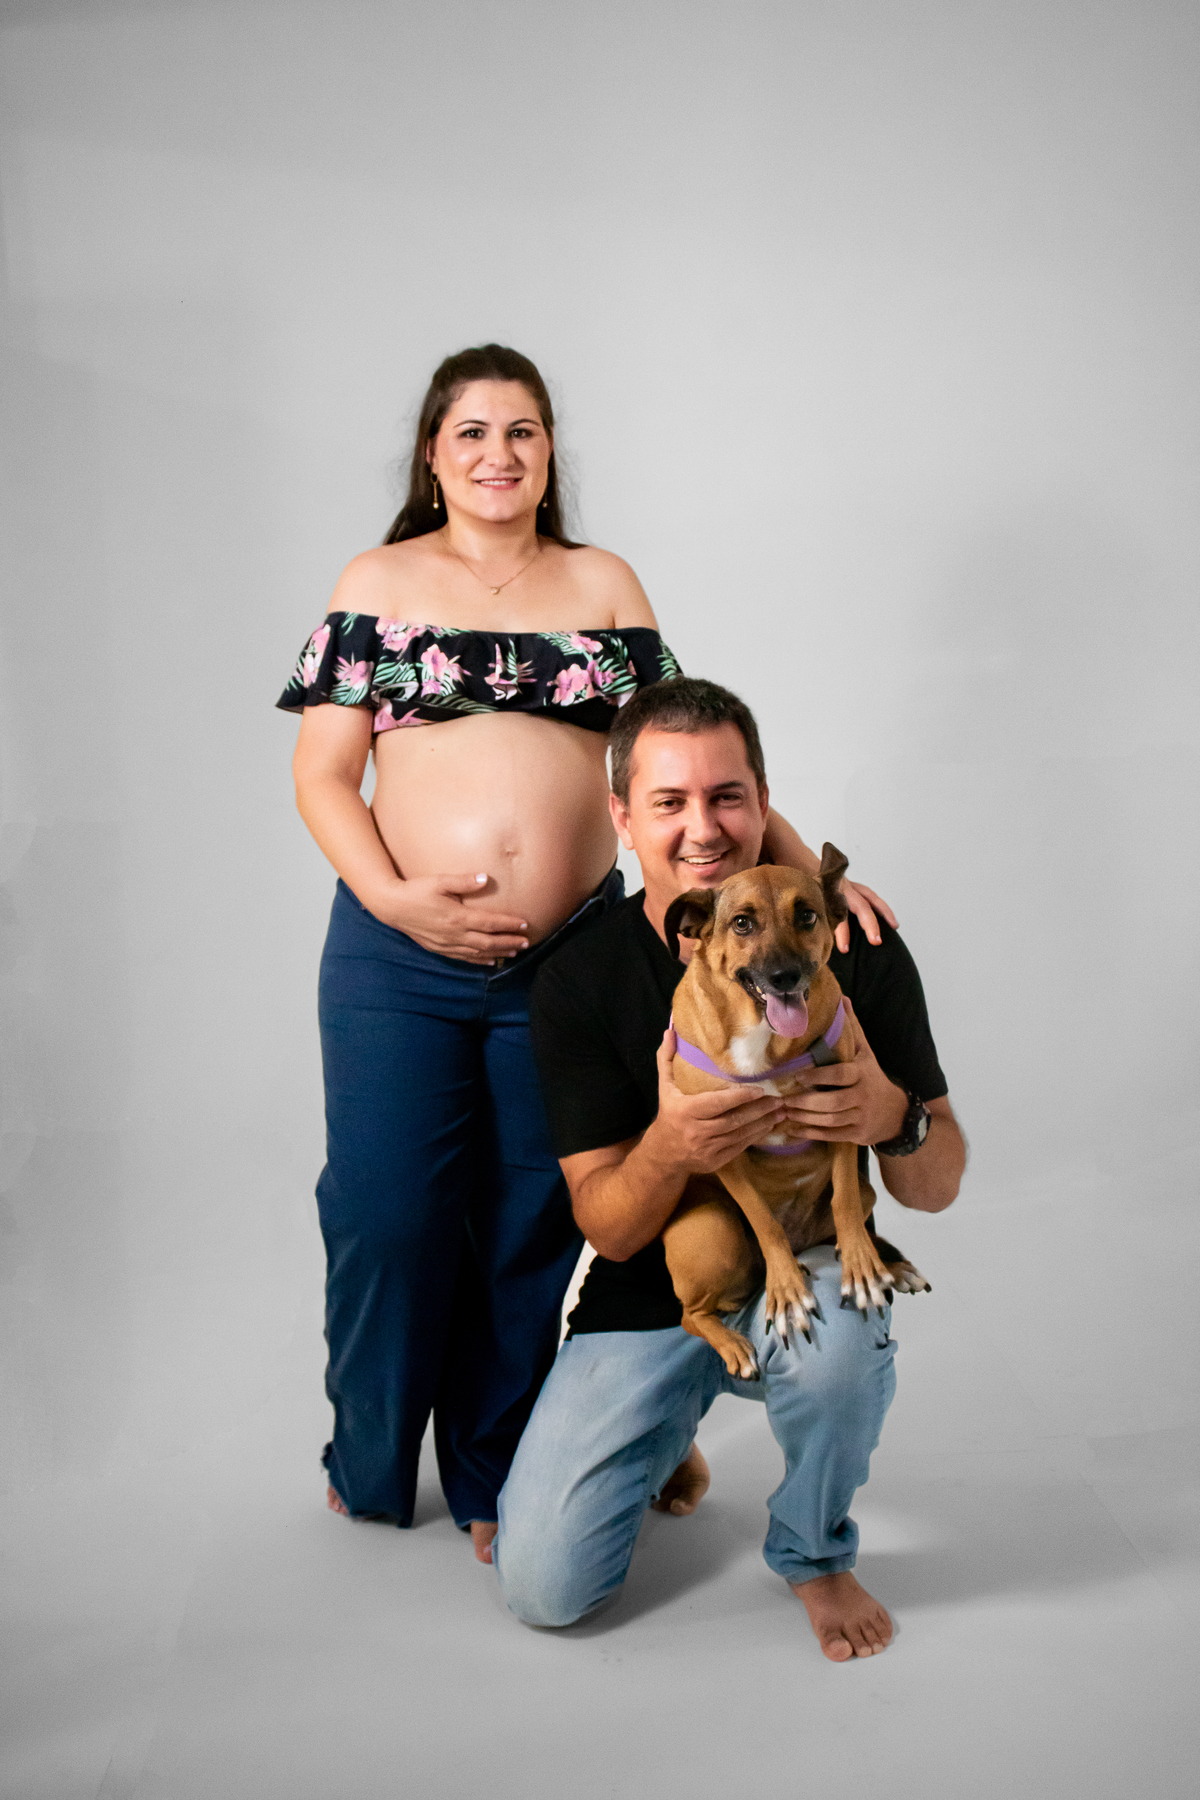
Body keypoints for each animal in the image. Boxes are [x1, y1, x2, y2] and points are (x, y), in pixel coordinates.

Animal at [661, 846, 929, 1380]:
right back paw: (734, 1345)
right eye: (742, 923)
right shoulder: (721, 1147)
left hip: (863, 1191)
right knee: (690, 1315)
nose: (786, 976)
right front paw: (786, 1290)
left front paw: (862, 1272)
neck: (762, 1037)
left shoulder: (845, 1113)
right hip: (714, 1235)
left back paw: (886, 1263)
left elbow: (843, 1198)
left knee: (853, 1214)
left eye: (806, 915)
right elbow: (764, 1221)